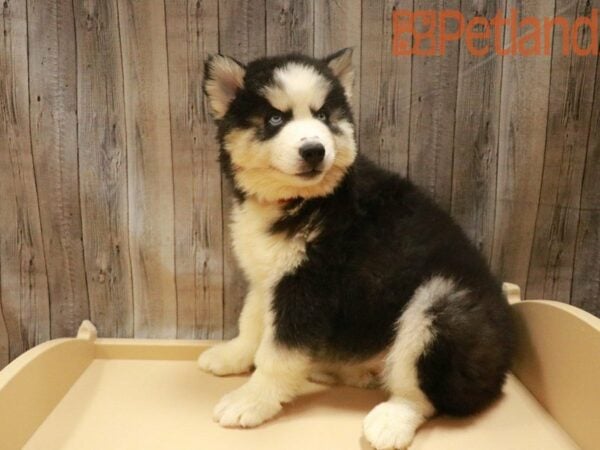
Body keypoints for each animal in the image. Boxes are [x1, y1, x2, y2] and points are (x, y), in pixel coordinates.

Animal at [198, 49, 516, 450]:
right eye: (275, 119)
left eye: (322, 116)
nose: (314, 150)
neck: (301, 201)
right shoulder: (269, 276)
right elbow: (252, 322)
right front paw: (233, 355)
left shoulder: (310, 286)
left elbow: (277, 353)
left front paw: (251, 400)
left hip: (443, 305)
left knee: (423, 394)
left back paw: (391, 420)